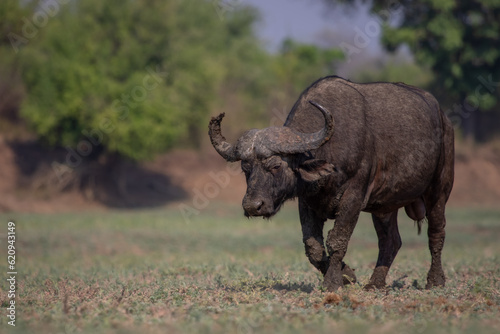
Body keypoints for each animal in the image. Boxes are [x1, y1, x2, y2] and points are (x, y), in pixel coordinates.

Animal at [207, 76, 454, 292]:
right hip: (385, 206)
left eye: (276, 166)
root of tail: (444, 119)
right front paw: (347, 274)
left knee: (436, 233)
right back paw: (375, 283)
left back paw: (435, 281)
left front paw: (333, 281)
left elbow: (337, 240)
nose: (252, 206)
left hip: (439, 191)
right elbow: (313, 247)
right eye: (245, 168)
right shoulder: (307, 202)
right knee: (390, 241)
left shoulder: (354, 197)